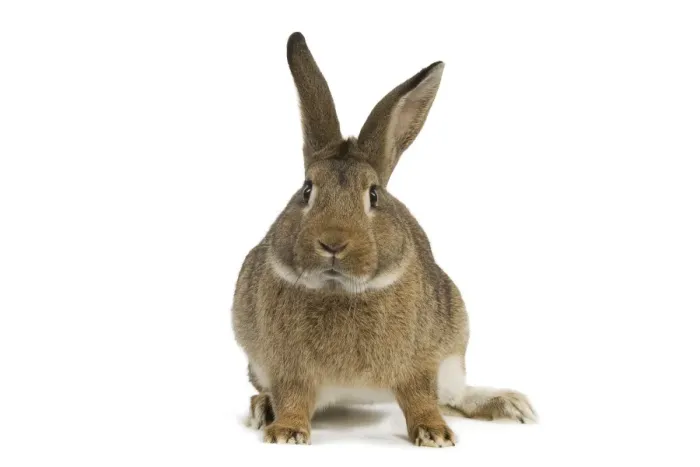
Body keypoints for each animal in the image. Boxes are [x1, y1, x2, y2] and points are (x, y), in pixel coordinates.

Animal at [232, 32, 536, 447]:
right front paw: (286, 432)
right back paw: (262, 408)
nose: (333, 242)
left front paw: (436, 434)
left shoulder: (420, 362)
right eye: (307, 190)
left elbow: (421, 398)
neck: (341, 290)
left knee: (454, 395)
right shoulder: (286, 367)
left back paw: (508, 404)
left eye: (373, 195)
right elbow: (293, 396)